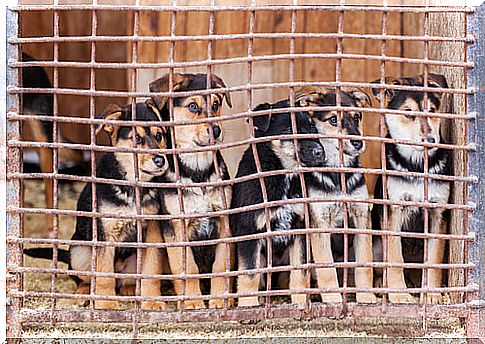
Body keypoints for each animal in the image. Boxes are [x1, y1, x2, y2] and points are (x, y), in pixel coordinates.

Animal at [27, 99, 170, 310]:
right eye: (137, 139)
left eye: (159, 135)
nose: (160, 160)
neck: (132, 186)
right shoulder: (105, 234)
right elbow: (104, 274)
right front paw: (106, 304)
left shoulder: (152, 231)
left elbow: (151, 270)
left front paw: (151, 300)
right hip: (78, 252)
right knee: (85, 279)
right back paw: (83, 294)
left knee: (125, 281)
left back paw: (129, 290)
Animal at [148, 72, 233, 310]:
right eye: (193, 106)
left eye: (216, 104)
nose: (216, 131)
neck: (198, 170)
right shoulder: (176, 227)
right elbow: (187, 268)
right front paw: (193, 302)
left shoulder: (223, 222)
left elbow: (220, 266)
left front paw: (219, 300)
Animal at [230, 99, 326, 306]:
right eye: (290, 129)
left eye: (312, 127)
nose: (320, 153)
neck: (285, 176)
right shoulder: (250, 230)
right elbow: (249, 274)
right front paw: (248, 305)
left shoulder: (300, 228)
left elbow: (299, 273)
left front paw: (300, 302)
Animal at [294, 88, 376, 304]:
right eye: (333, 120)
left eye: (356, 117)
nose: (358, 143)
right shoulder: (319, 222)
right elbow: (326, 268)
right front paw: (333, 300)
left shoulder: (361, 216)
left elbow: (364, 262)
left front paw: (366, 296)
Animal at [370, 73, 450, 304]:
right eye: (408, 113)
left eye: (432, 111)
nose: (431, 140)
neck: (416, 164)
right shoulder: (394, 211)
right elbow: (396, 259)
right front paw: (399, 295)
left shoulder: (438, 213)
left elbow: (433, 261)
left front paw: (431, 294)